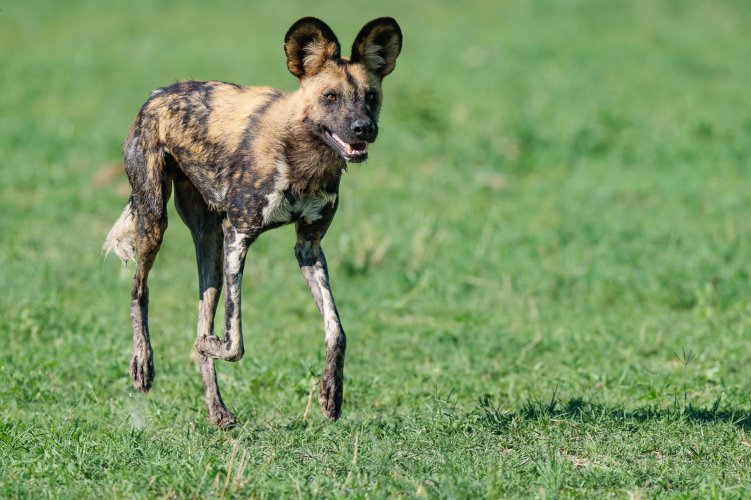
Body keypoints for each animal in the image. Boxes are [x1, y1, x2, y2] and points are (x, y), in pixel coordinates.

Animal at [104, 17, 406, 428]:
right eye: (331, 97)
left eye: (371, 96)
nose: (363, 128)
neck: (304, 158)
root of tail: (158, 94)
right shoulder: (239, 236)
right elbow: (235, 342)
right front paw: (211, 345)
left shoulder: (308, 248)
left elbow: (336, 329)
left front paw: (331, 394)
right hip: (154, 220)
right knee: (139, 288)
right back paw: (143, 364)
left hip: (210, 249)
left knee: (200, 315)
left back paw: (218, 411)